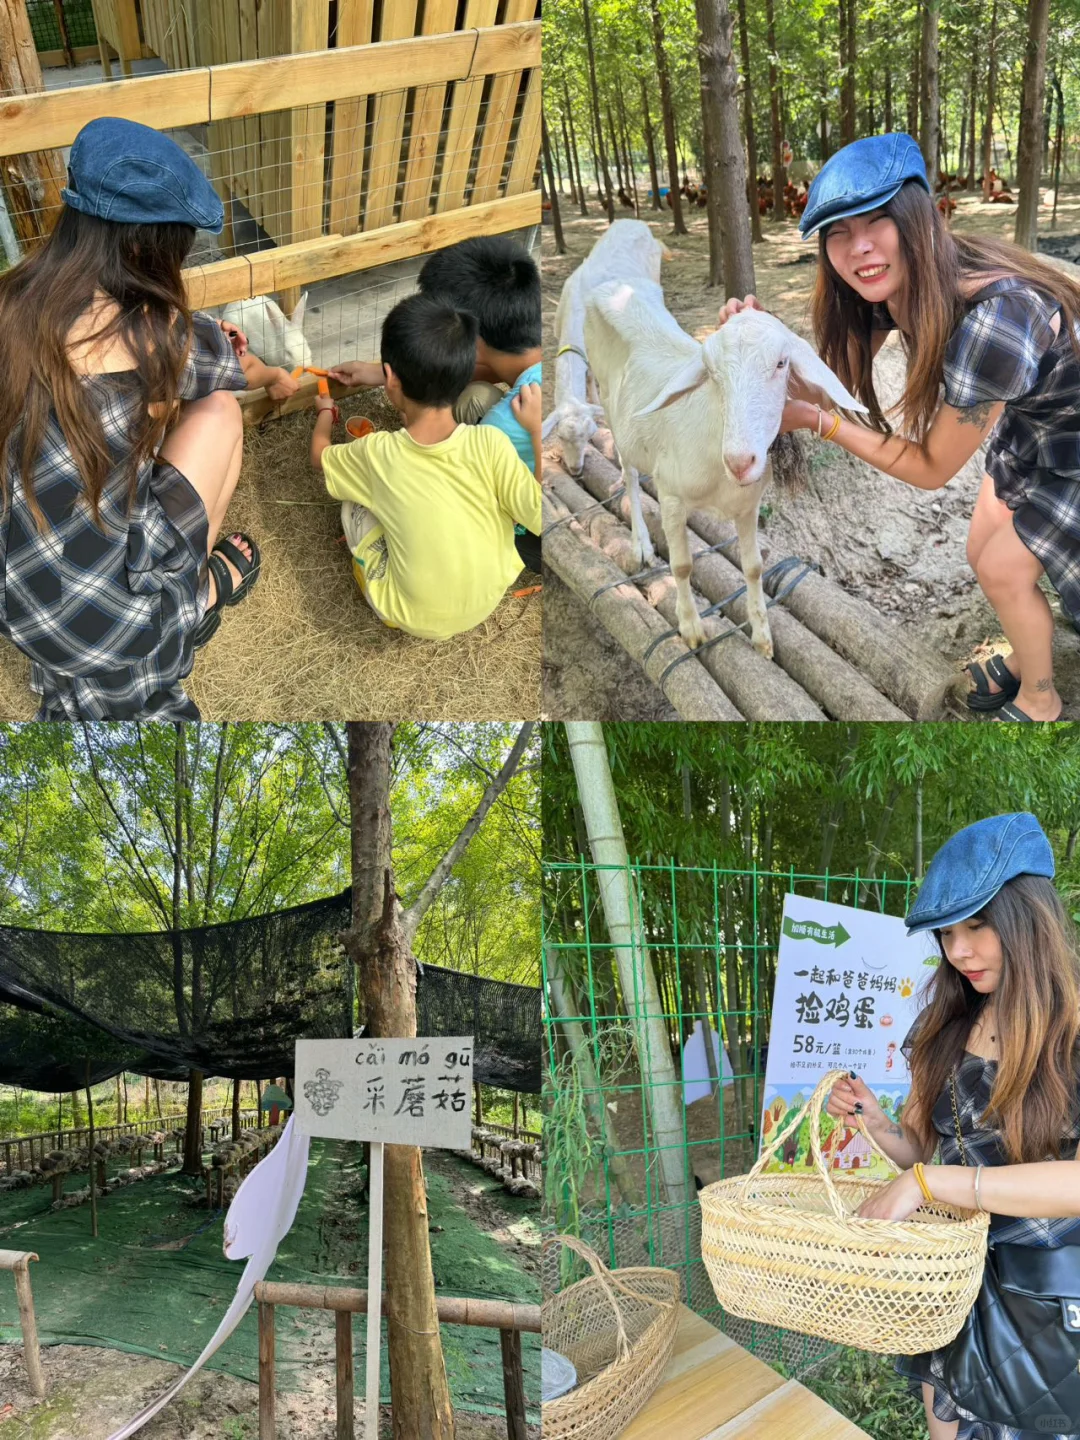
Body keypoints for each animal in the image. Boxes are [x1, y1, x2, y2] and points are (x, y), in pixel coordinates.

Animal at [587, 276, 869, 659]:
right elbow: (682, 565)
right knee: (628, 471)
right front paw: (691, 629)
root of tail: (613, 281)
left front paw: (763, 637)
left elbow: (754, 567)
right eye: (711, 374)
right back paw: (640, 543)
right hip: (606, 400)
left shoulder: (748, 506)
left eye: (782, 363)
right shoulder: (671, 495)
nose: (739, 461)